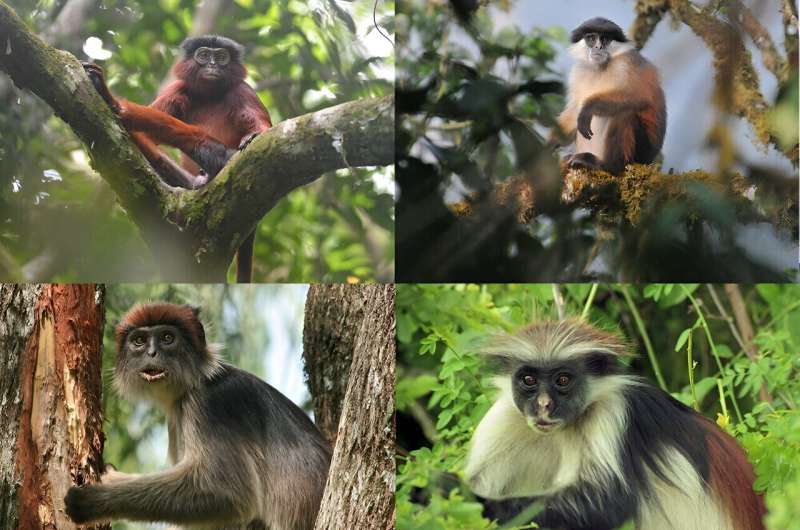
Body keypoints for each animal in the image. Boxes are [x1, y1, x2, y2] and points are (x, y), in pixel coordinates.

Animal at [64, 302, 331, 530]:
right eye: (139, 341)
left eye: (167, 338)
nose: (152, 352)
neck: (197, 383)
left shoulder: (211, 405)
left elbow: (229, 494)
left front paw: (93, 499)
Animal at [83, 35, 273, 282]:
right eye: (204, 55)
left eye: (221, 57)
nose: (213, 65)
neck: (210, 95)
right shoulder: (178, 88)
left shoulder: (242, 89)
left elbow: (265, 132)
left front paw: (113, 101)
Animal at [464, 319, 765, 530]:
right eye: (529, 380)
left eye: (563, 380)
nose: (543, 405)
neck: (562, 430)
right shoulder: (507, 416)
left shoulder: (614, 410)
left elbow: (610, 504)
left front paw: (480, 503)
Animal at [554, 18, 667, 175]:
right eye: (591, 38)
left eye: (605, 39)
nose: (598, 47)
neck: (600, 68)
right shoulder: (578, 71)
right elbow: (574, 110)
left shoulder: (626, 63)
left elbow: (640, 96)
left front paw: (588, 109)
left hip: (640, 155)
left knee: (625, 113)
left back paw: (607, 166)